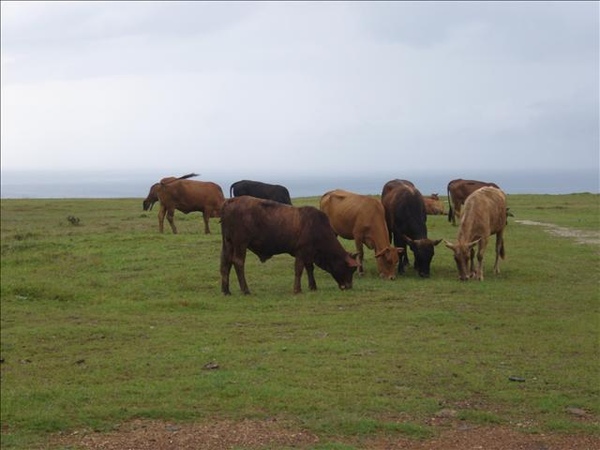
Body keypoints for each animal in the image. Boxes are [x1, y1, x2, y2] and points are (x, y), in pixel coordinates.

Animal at [221, 197, 358, 296]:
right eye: (351, 269)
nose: (349, 287)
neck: (317, 228)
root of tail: (230, 201)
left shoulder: (309, 254)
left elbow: (309, 268)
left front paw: (313, 286)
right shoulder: (301, 252)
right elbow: (299, 269)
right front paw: (297, 289)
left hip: (228, 244)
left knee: (226, 264)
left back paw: (226, 290)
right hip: (240, 244)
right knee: (238, 262)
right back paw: (245, 290)